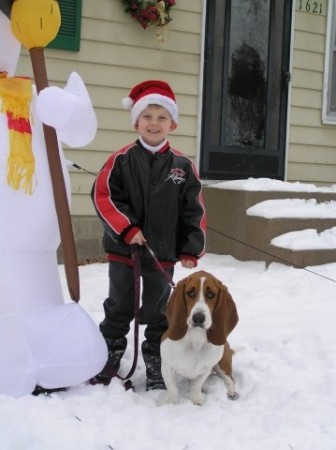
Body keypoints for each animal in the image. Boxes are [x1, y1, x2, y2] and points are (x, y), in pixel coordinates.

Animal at [159, 272, 239, 406]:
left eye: (211, 294)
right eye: (190, 293)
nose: (198, 318)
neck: (195, 341)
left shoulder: (206, 368)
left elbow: (196, 385)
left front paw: (196, 400)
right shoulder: (167, 366)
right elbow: (172, 388)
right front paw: (169, 402)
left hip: (223, 363)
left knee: (229, 379)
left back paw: (232, 392)